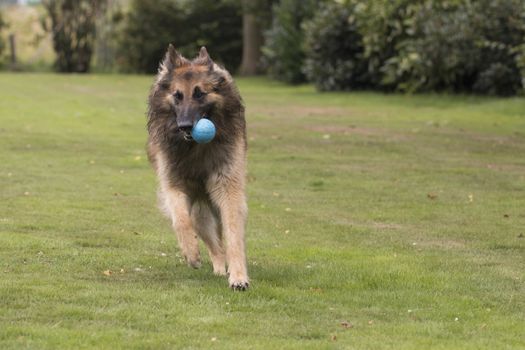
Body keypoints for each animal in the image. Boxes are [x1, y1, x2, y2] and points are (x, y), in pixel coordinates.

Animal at [144, 44, 249, 290]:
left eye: (200, 93)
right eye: (177, 95)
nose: (184, 126)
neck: (195, 149)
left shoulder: (228, 188)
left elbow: (233, 233)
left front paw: (239, 277)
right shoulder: (173, 185)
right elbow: (181, 220)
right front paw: (191, 253)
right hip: (201, 213)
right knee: (213, 244)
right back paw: (218, 267)